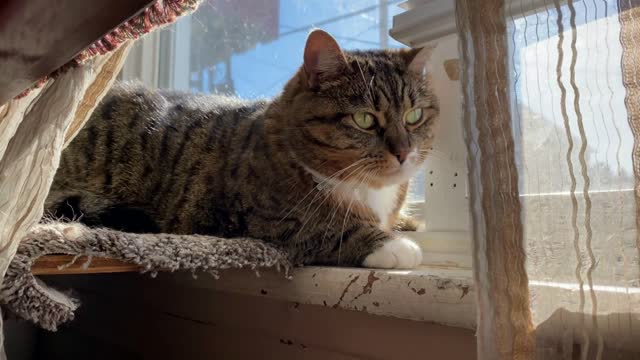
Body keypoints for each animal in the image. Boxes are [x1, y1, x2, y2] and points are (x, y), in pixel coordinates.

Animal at [46, 29, 440, 268]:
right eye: (364, 119)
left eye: (414, 115)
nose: (404, 152)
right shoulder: (261, 217)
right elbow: (329, 227)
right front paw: (392, 245)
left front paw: (408, 223)